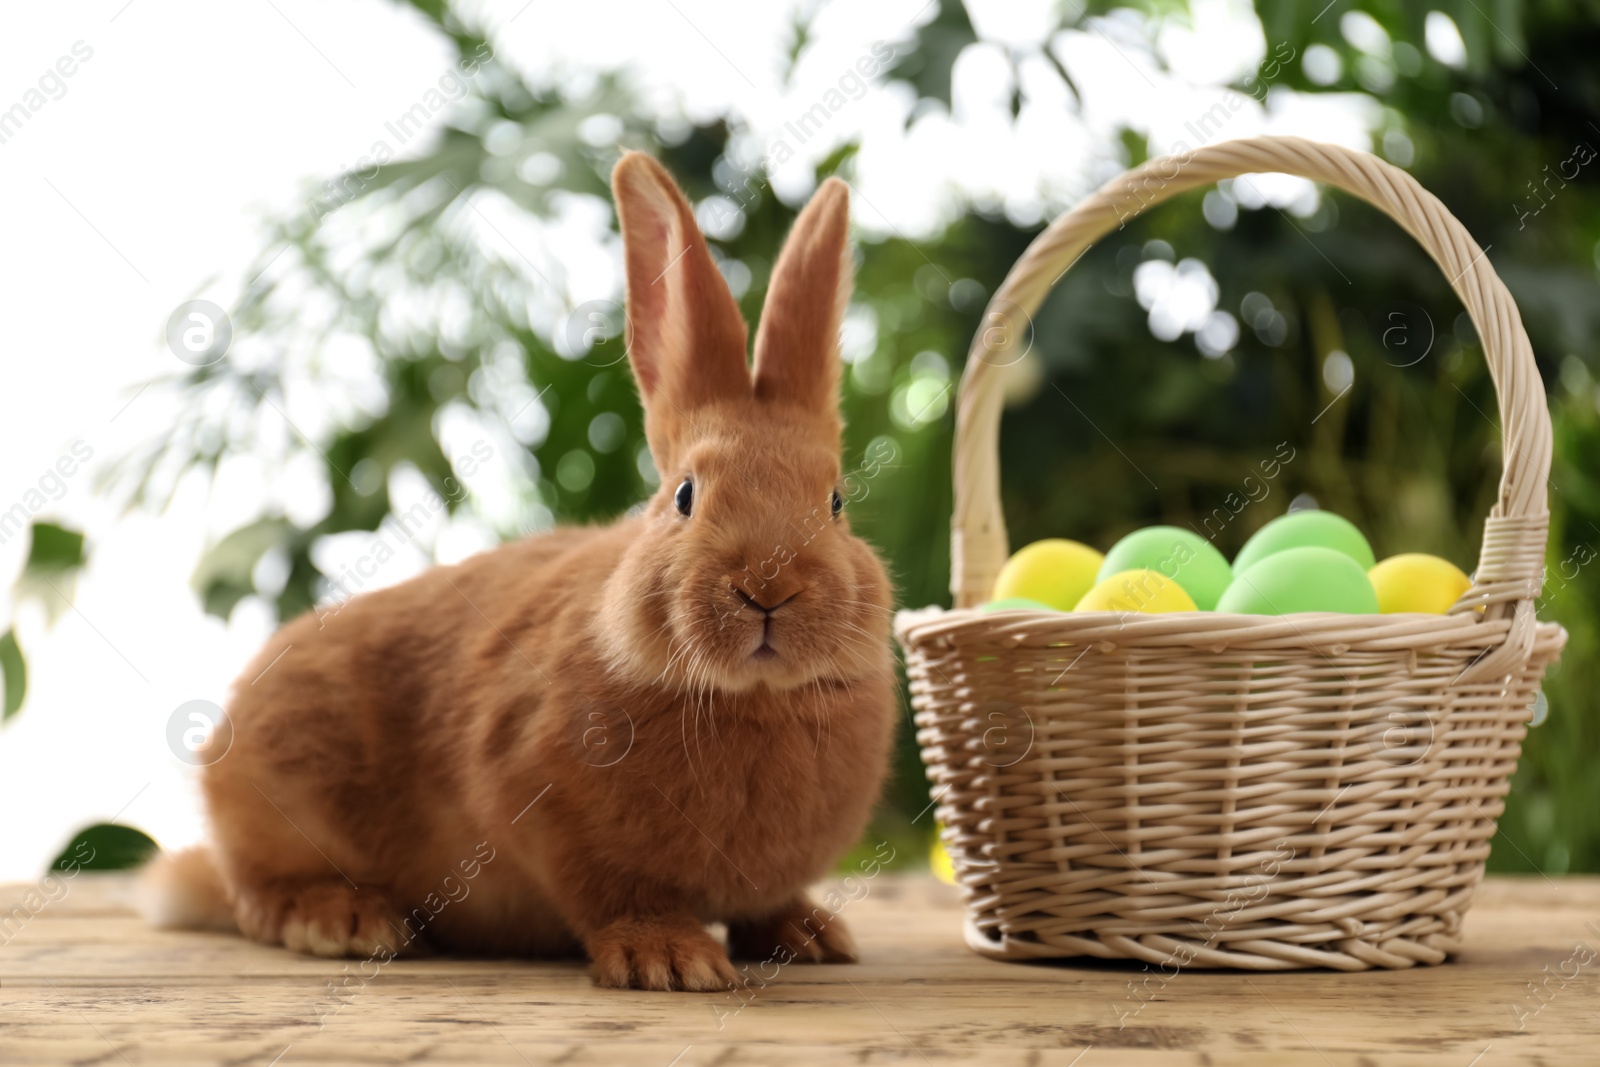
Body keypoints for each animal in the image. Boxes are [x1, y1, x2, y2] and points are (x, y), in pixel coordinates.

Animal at [137, 151, 902, 991]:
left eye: (835, 501)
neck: (751, 698)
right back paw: (347, 922)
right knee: (256, 896)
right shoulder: (542, 805)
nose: (769, 588)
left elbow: (769, 902)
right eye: (685, 496)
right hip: (279, 799)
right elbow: (615, 893)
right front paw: (670, 959)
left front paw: (811, 933)